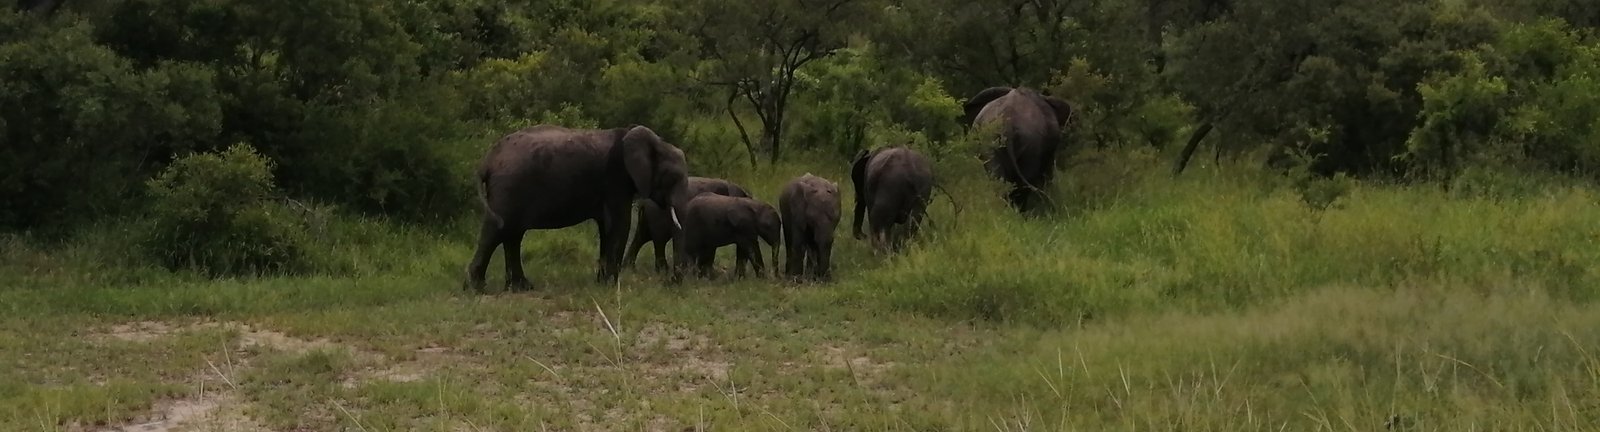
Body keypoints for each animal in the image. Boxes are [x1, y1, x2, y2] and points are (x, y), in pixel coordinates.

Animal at [465, 124, 690, 292]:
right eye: (673, 177)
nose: (672, 281)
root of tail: (487, 161)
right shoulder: (615, 178)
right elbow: (619, 224)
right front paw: (612, 286)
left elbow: (606, 227)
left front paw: (602, 283)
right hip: (508, 188)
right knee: (497, 231)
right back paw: (477, 288)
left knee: (512, 235)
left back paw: (521, 287)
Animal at [623, 176, 752, 273]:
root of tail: (643, 202)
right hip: (657, 214)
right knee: (659, 241)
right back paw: (663, 271)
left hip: (648, 217)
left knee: (642, 238)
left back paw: (630, 268)